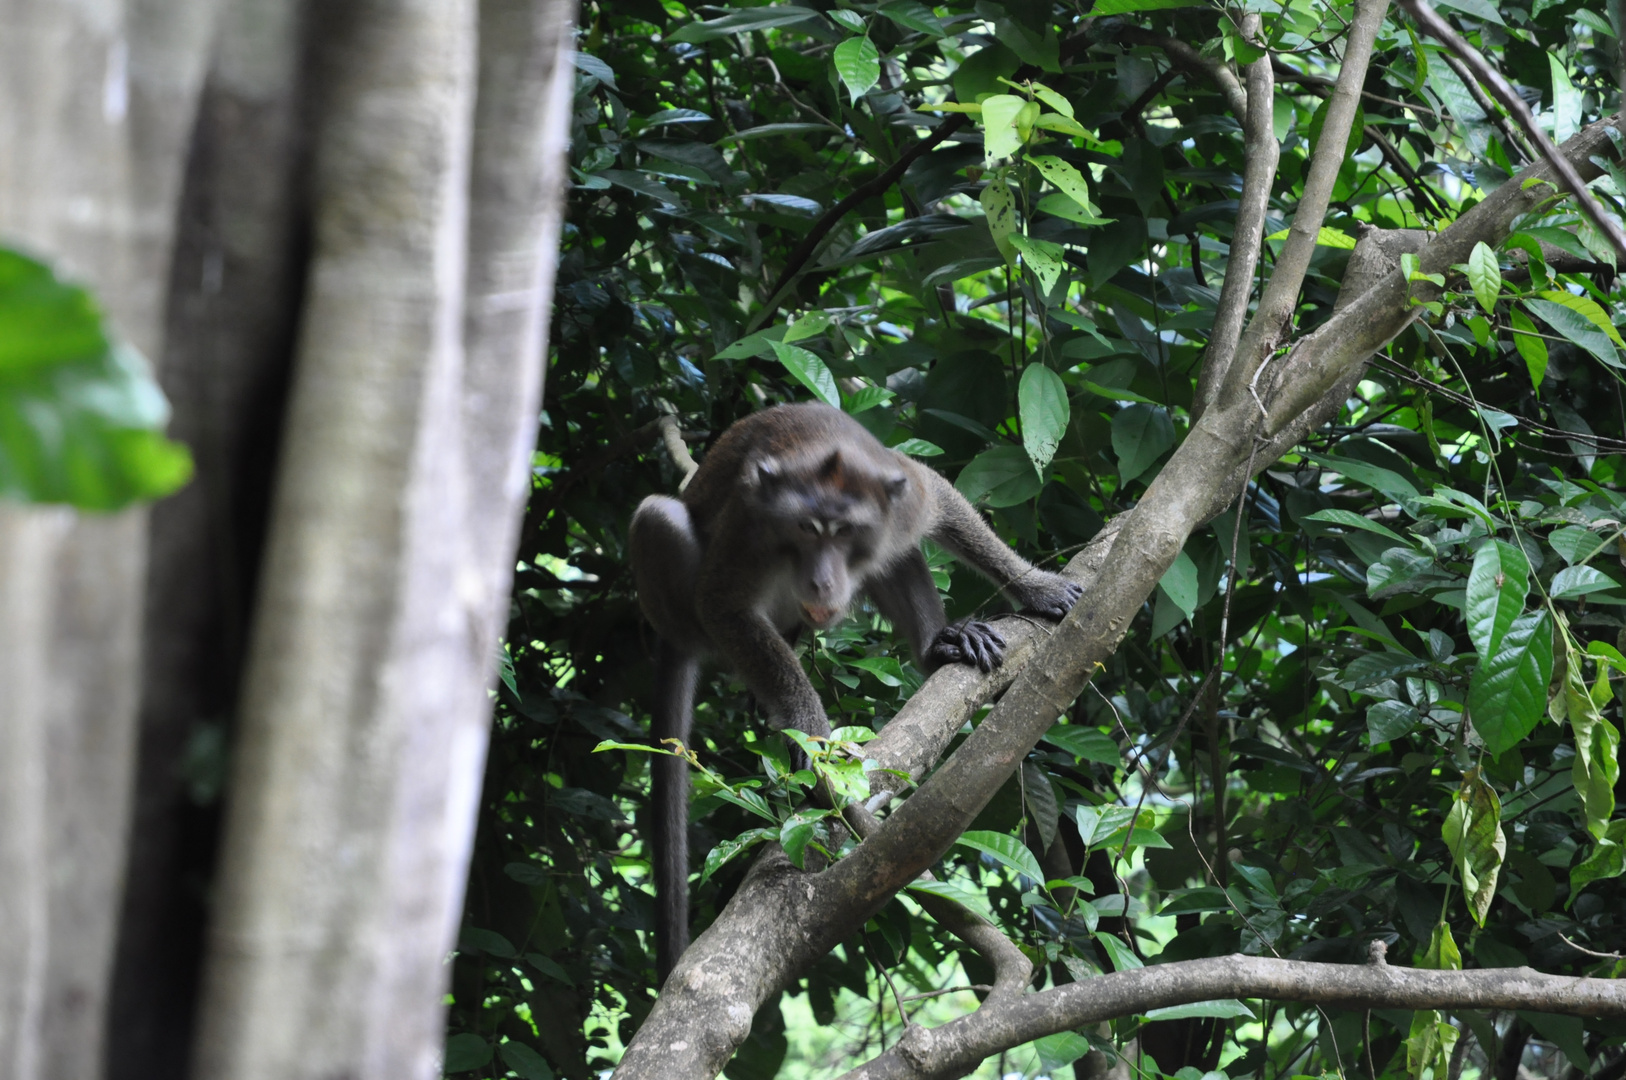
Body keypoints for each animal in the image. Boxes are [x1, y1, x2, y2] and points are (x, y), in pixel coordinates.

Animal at [627, 403, 1086, 975]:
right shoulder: (751, 527)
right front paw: (808, 724)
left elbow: (944, 503)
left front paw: (1034, 586)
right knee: (658, 516)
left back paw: (939, 645)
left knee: (899, 555)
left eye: (845, 532)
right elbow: (722, 603)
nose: (822, 581)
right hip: (679, 609)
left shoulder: (903, 503)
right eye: (806, 529)